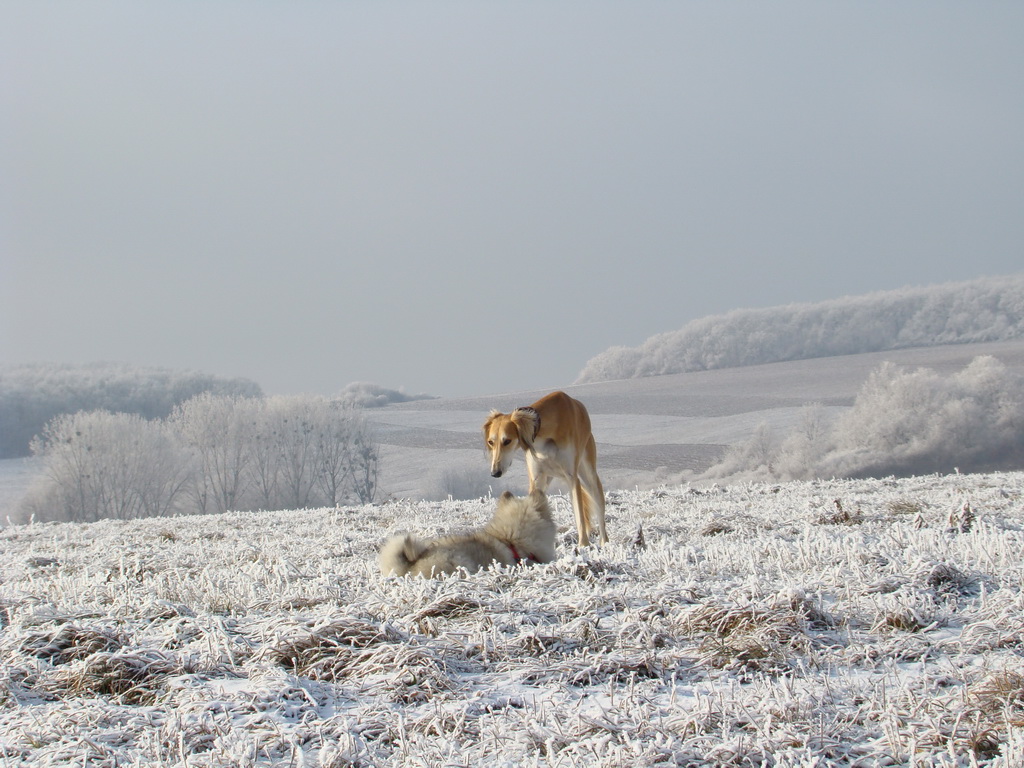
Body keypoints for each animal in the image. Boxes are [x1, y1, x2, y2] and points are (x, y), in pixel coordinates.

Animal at [481, 391, 602, 548]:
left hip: (589, 476)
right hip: (547, 477)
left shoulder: (571, 477)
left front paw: (583, 546)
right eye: (491, 442)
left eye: (507, 441)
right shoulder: (536, 478)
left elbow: (580, 517)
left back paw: (604, 542)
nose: (495, 473)